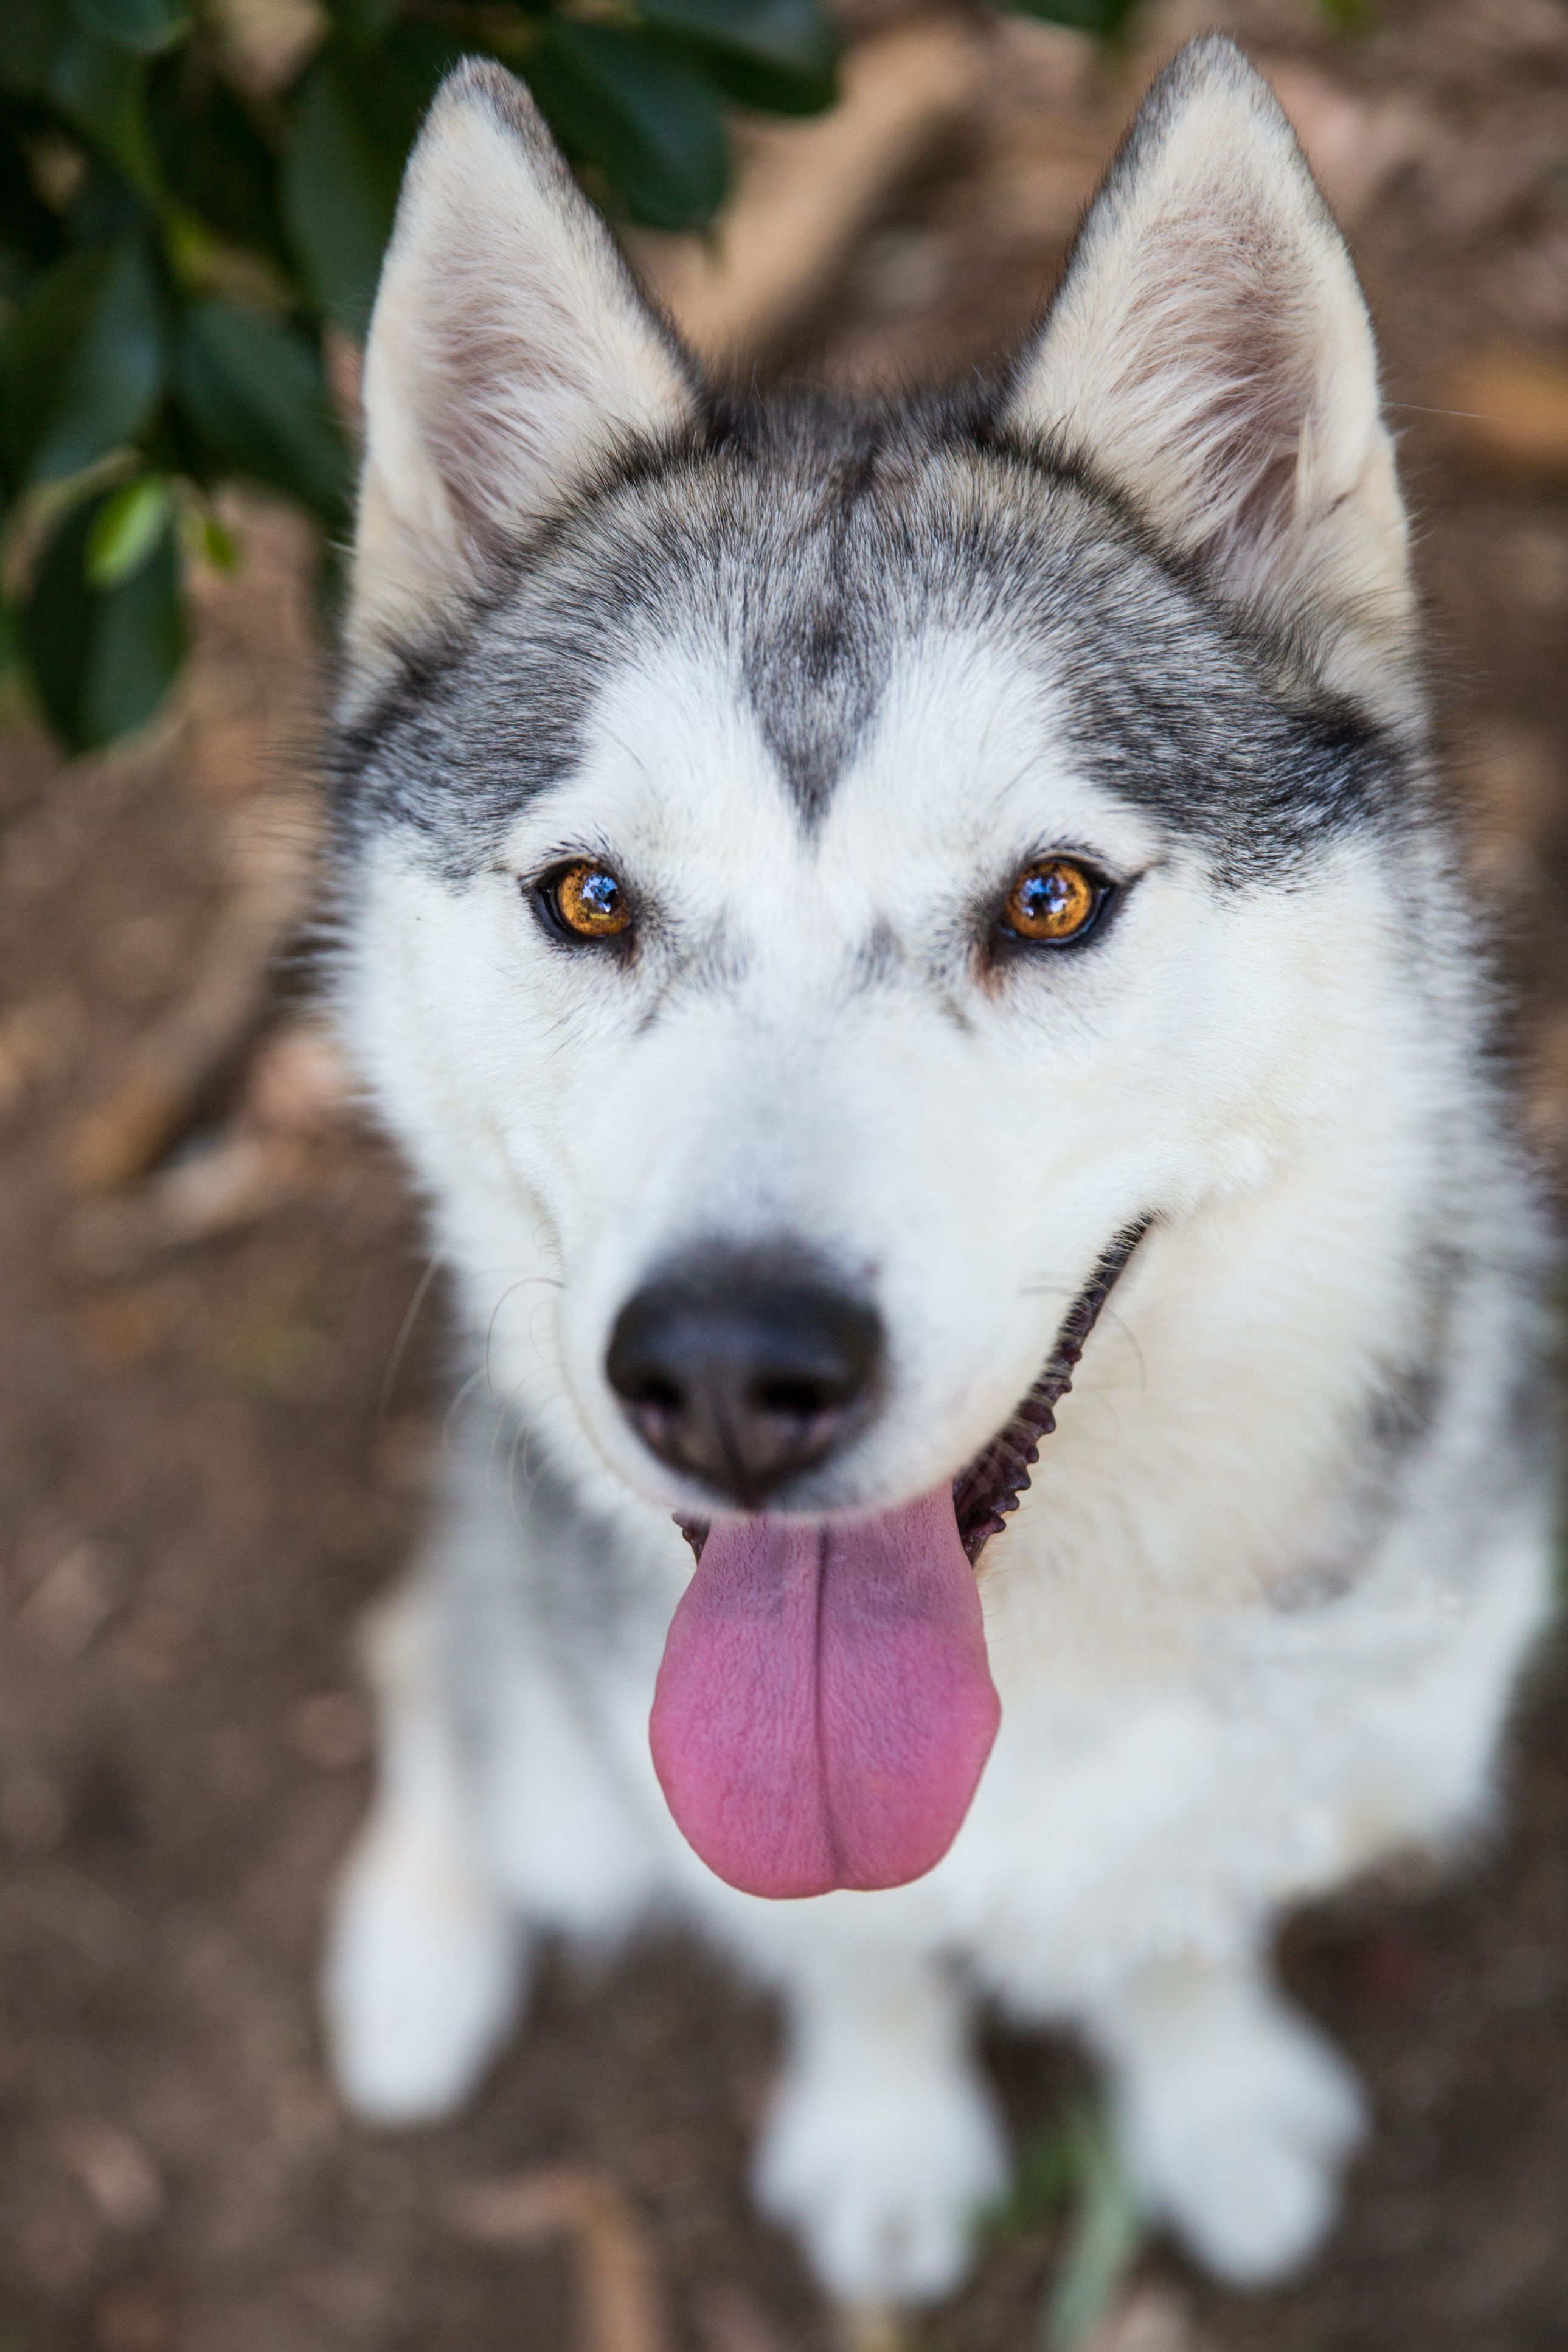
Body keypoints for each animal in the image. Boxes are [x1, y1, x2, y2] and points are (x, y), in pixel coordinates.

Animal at [319, 36, 1561, 2314]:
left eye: (1048, 896)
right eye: (589, 895)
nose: (729, 1367)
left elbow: (1176, 1908)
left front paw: (1207, 2094)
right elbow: (852, 1953)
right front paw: (884, 2122)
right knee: (426, 1654)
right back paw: (418, 1953)